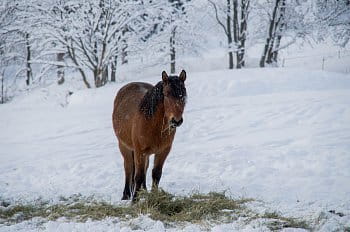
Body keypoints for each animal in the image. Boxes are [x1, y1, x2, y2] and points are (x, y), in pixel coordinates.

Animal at [113, 70, 187, 200]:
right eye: (166, 94)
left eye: (183, 94)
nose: (176, 121)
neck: (152, 124)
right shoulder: (139, 151)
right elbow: (138, 175)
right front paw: (134, 201)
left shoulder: (163, 151)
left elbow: (156, 173)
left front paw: (154, 196)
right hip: (124, 146)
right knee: (128, 168)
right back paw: (126, 195)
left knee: (145, 169)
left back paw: (144, 191)